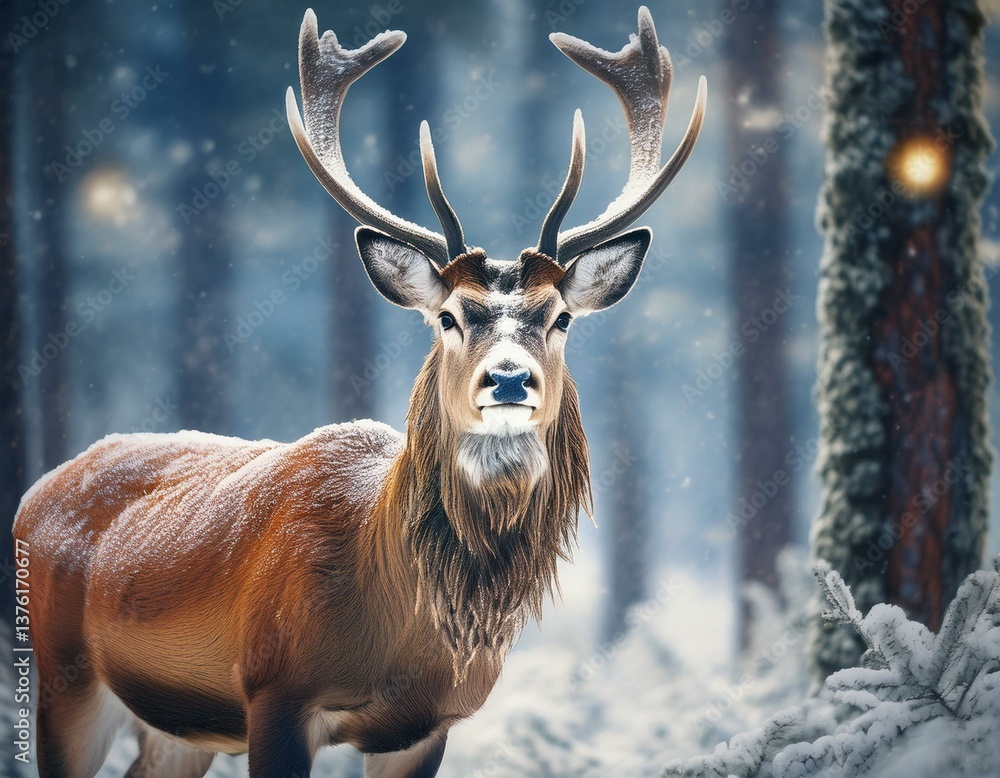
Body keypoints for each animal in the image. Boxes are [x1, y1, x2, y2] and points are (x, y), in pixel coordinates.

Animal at [13, 7, 705, 777]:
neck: (400, 623)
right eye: (448, 315)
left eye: (560, 317)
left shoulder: (428, 725)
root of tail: (36, 493)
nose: (508, 377)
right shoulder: (273, 689)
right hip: (63, 672)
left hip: (174, 726)